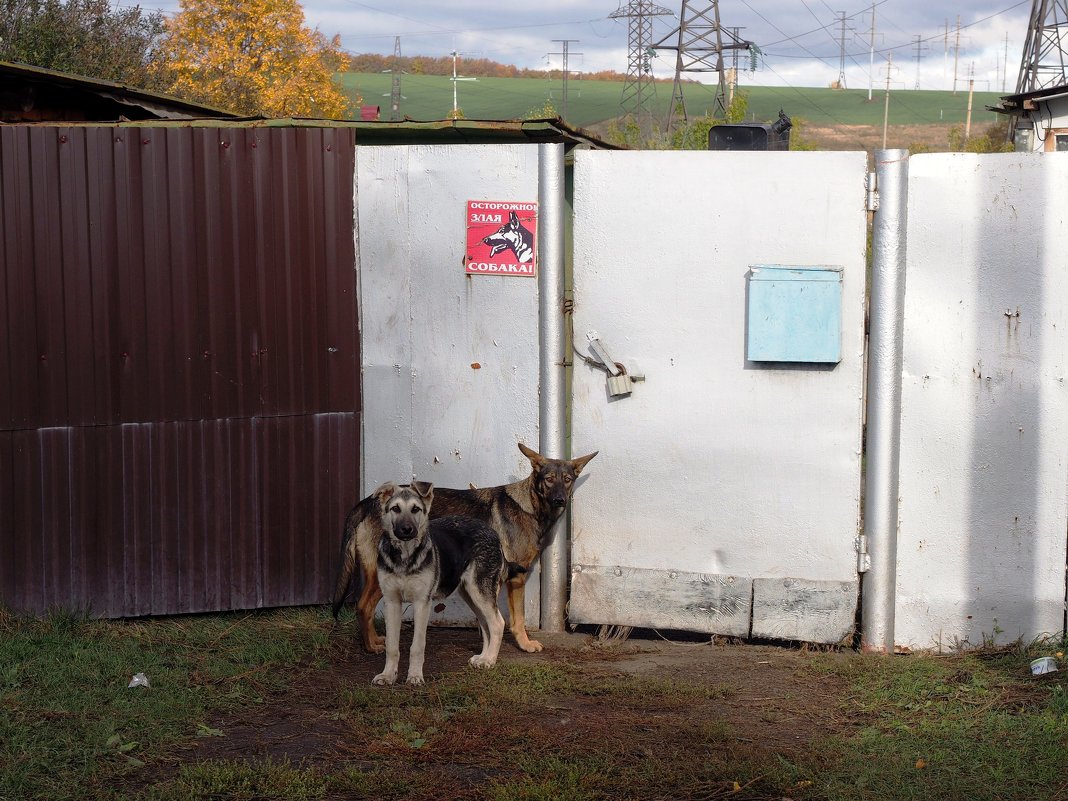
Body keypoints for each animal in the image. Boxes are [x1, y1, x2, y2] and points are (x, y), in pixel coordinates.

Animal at [328, 442, 598, 653]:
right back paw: (371, 647)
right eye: (549, 480)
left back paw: (375, 642)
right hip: (380, 574)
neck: (530, 506)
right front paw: (524, 644)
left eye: (567, 480)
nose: (560, 500)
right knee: (363, 607)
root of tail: (368, 501)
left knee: (365, 608)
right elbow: (518, 619)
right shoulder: (516, 577)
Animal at [369, 480, 519, 687]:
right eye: (395, 509)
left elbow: (417, 645)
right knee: (486, 624)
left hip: (480, 590)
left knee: (497, 623)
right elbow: (391, 645)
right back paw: (483, 657)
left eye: (415, 509)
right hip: (470, 593)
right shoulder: (392, 602)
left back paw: (489, 660)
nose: (406, 530)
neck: (405, 556)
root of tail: (494, 534)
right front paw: (388, 675)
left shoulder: (422, 603)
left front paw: (415, 676)